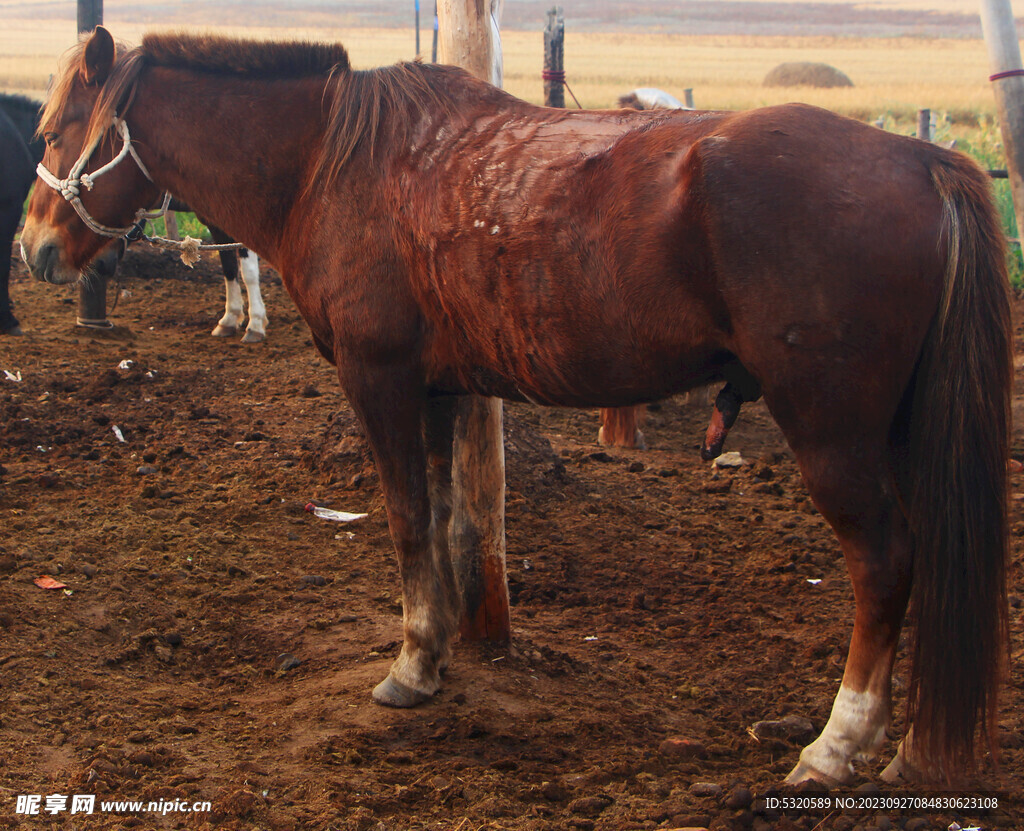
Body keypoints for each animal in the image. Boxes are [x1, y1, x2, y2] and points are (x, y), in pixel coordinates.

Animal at [19, 27, 1011, 785]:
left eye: (57, 129)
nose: (32, 246)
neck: (333, 161)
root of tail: (924, 158)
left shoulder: (381, 380)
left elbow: (407, 521)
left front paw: (411, 664)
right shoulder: (440, 389)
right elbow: (445, 520)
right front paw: (440, 647)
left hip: (833, 435)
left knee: (884, 564)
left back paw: (836, 745)